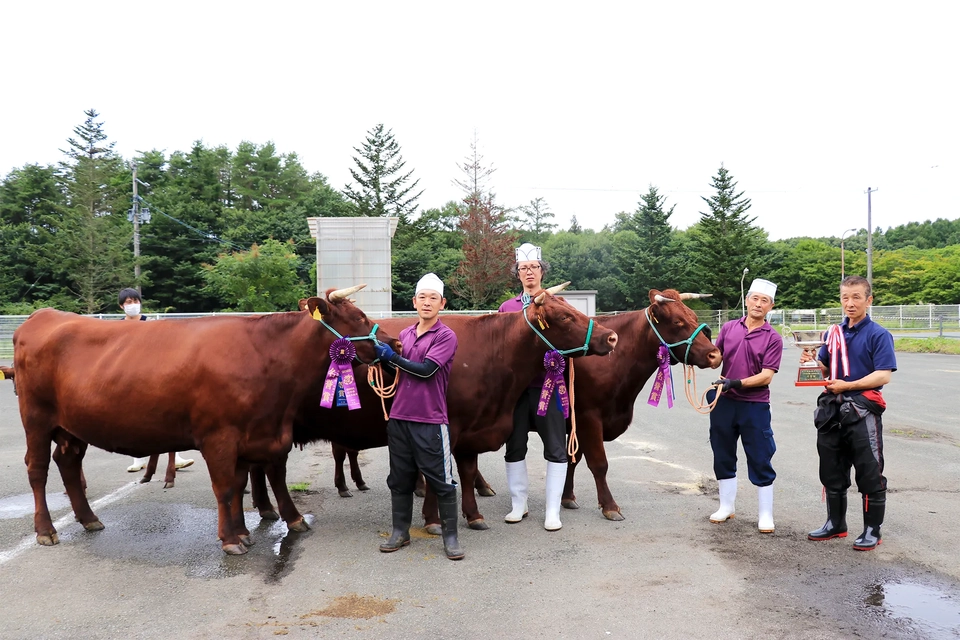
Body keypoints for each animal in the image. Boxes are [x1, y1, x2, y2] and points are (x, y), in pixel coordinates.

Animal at [12, 286, 394, 556]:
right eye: (357, 317)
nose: (393, 343)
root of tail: (43, 317)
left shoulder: (256, 435)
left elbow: (241, 484)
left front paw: (243, 531)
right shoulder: (219, 437)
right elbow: (225, 488)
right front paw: (231, 540)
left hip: (72, 426)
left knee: (68, 462)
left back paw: (89, 519)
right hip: (36, 419)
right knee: (37, 469)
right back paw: (46, 530)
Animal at [560, 290, 724, 520]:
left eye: (694, 316)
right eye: (677, 321)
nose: (715, 354)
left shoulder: (579, 424)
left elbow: (572, 459)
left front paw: (566, 497)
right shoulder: (587, 417)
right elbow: (599, 463)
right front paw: (610, 506)